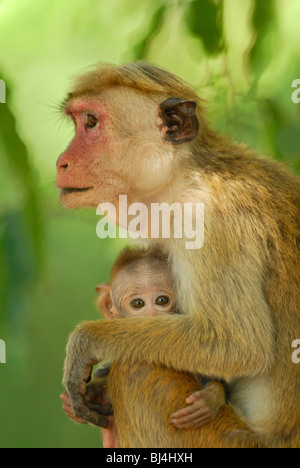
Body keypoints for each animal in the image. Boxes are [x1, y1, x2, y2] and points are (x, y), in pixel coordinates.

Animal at [56, 60, 300, 448]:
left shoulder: (209, 220)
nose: (61, 163)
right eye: (79, 122)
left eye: (91, 123)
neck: (187, 177)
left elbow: (236, 344)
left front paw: (87, 342)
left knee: (139, 368)